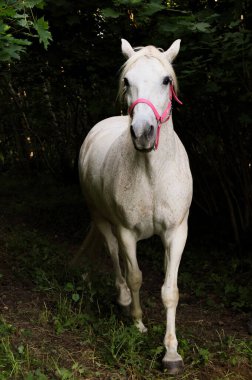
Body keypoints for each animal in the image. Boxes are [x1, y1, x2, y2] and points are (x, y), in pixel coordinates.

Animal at [78, 39, 192, 374]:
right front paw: (138, 323)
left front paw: (171, 353)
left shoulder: (176, 233)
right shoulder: (127, 232)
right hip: (102, 219)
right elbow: (136, 276)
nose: (142, 132)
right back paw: (124, 299)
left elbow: (170, 291)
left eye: (166, 80)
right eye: (127, 81)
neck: (152, 173)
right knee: (115, 256)